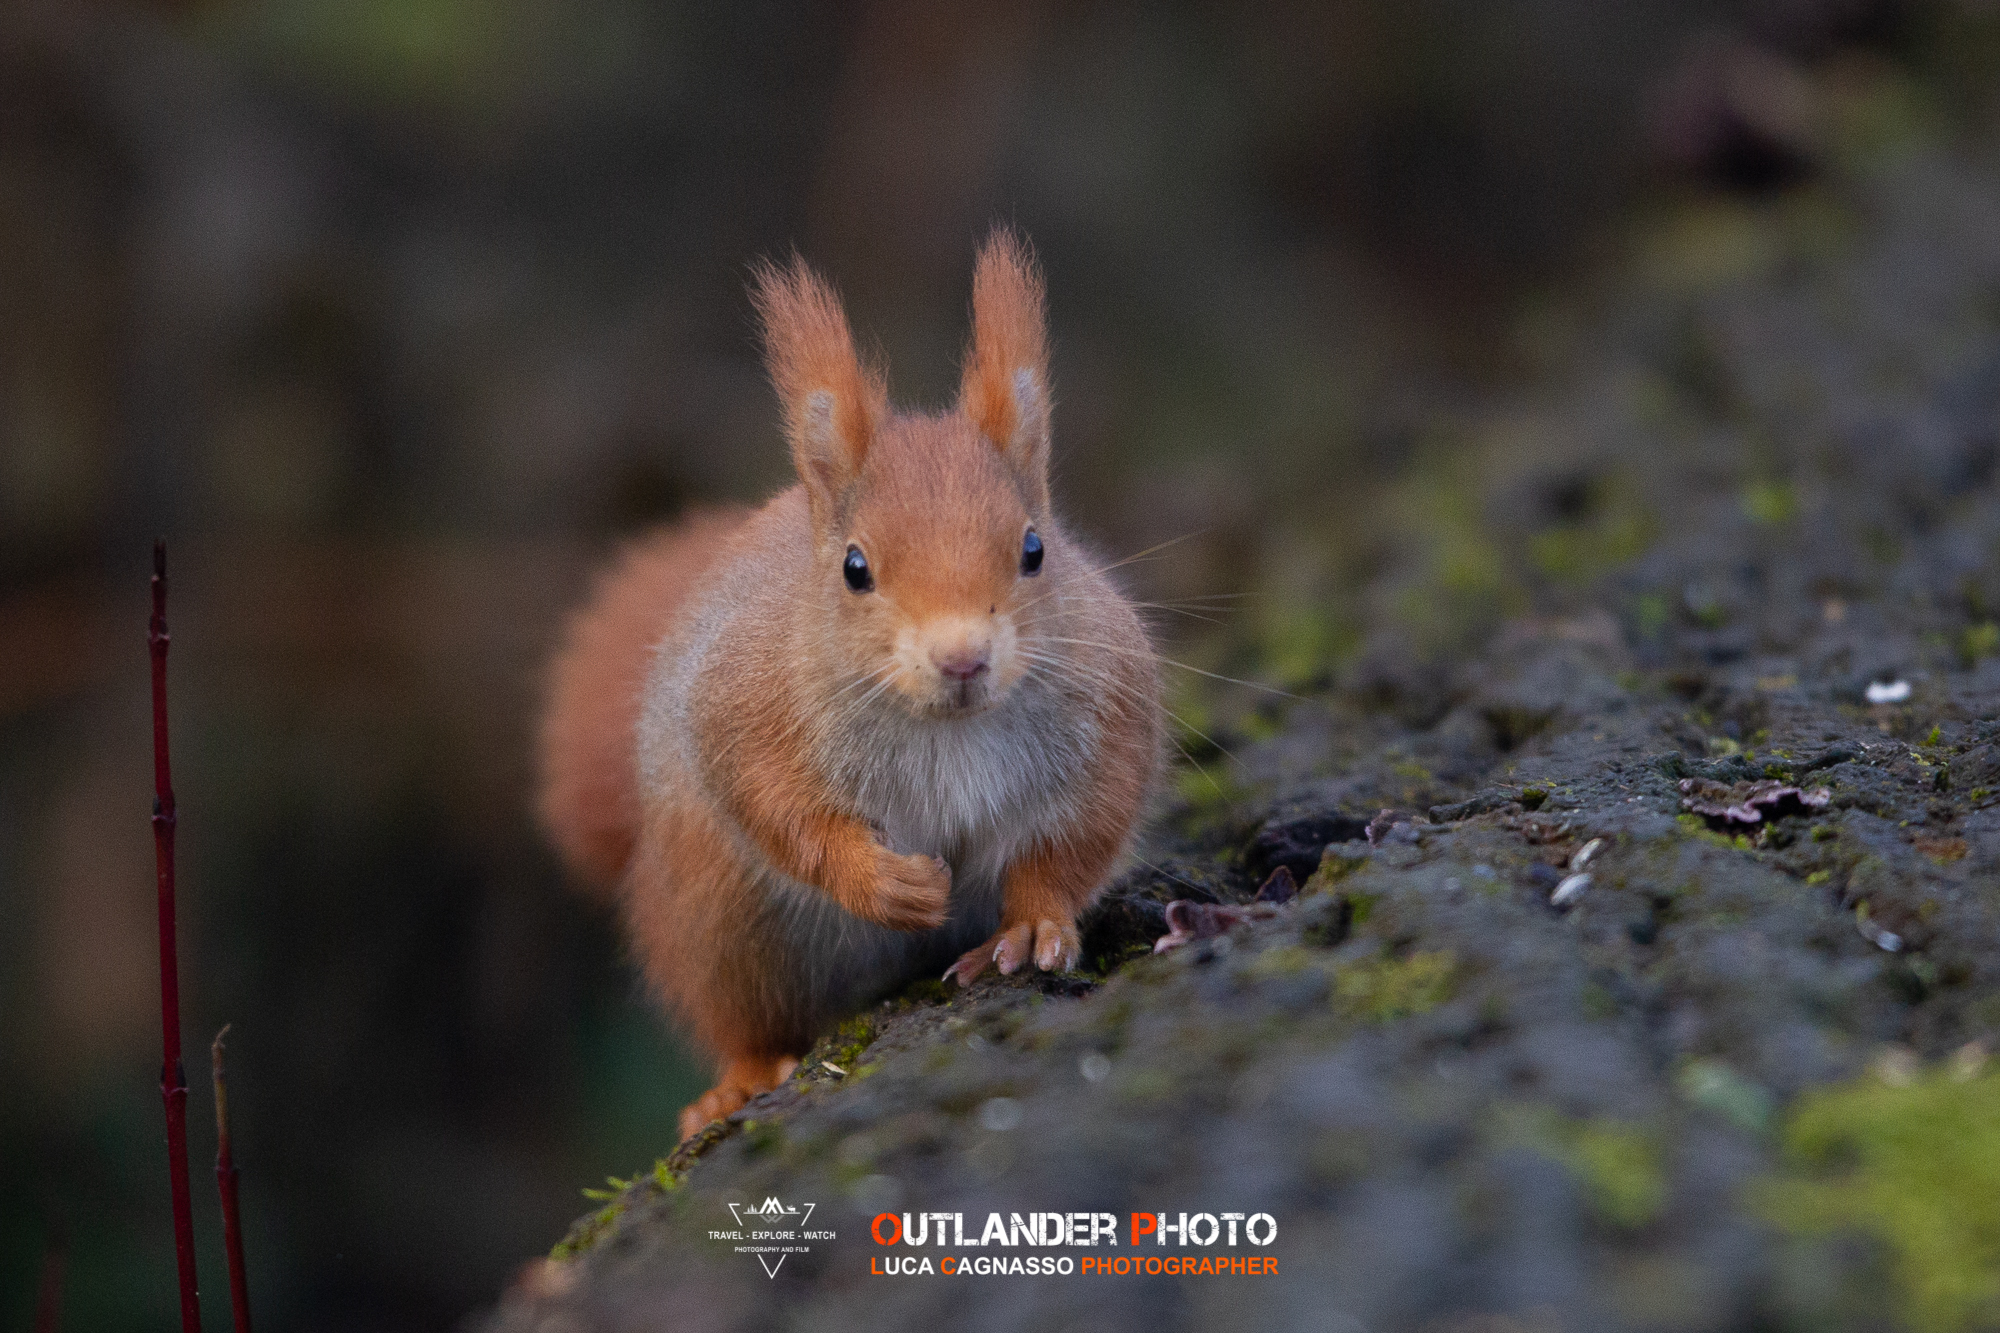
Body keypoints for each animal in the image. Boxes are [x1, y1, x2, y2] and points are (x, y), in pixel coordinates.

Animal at [536, 229, 1162, 1141]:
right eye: (855, 568)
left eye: (1035, 548)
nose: (962, 656)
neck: (945, 724)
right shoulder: (747, 705)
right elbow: (774, 802)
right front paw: (884, 881)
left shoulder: (1112, 707)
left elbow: (1078, 836)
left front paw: (1032, 923)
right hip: (716, 919)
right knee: (742, 1015)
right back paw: (740, 1080)